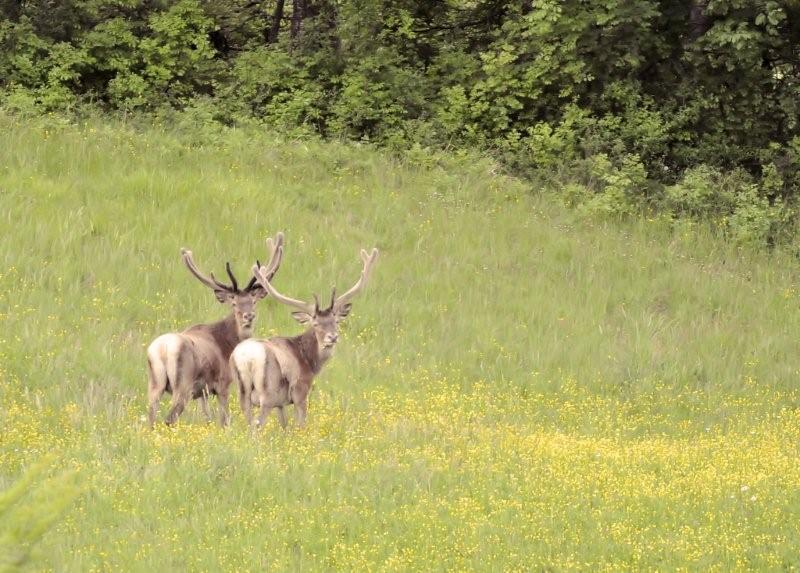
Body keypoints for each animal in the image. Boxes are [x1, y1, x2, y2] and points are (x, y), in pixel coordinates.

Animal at [145, 231, 286, 424]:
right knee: (169, 418)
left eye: (254, 301)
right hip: (182, 384)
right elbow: (224, 420)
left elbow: (207, 418)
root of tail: (161, 349)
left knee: (150, 418)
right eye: (234, 302)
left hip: (154, 384)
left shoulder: (202, 393)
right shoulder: (223, 383)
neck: (228, 343)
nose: (248, 316)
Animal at [231, 247, 378, 428]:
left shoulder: (280, 403)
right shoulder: (300, 390)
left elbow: (284, 426)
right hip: (267, 393)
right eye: (315, 324)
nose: (332, 337)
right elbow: (300, 424)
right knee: (258, 424)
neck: (310, 362)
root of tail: (247, 358)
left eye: (336, 321)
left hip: (243, 393)